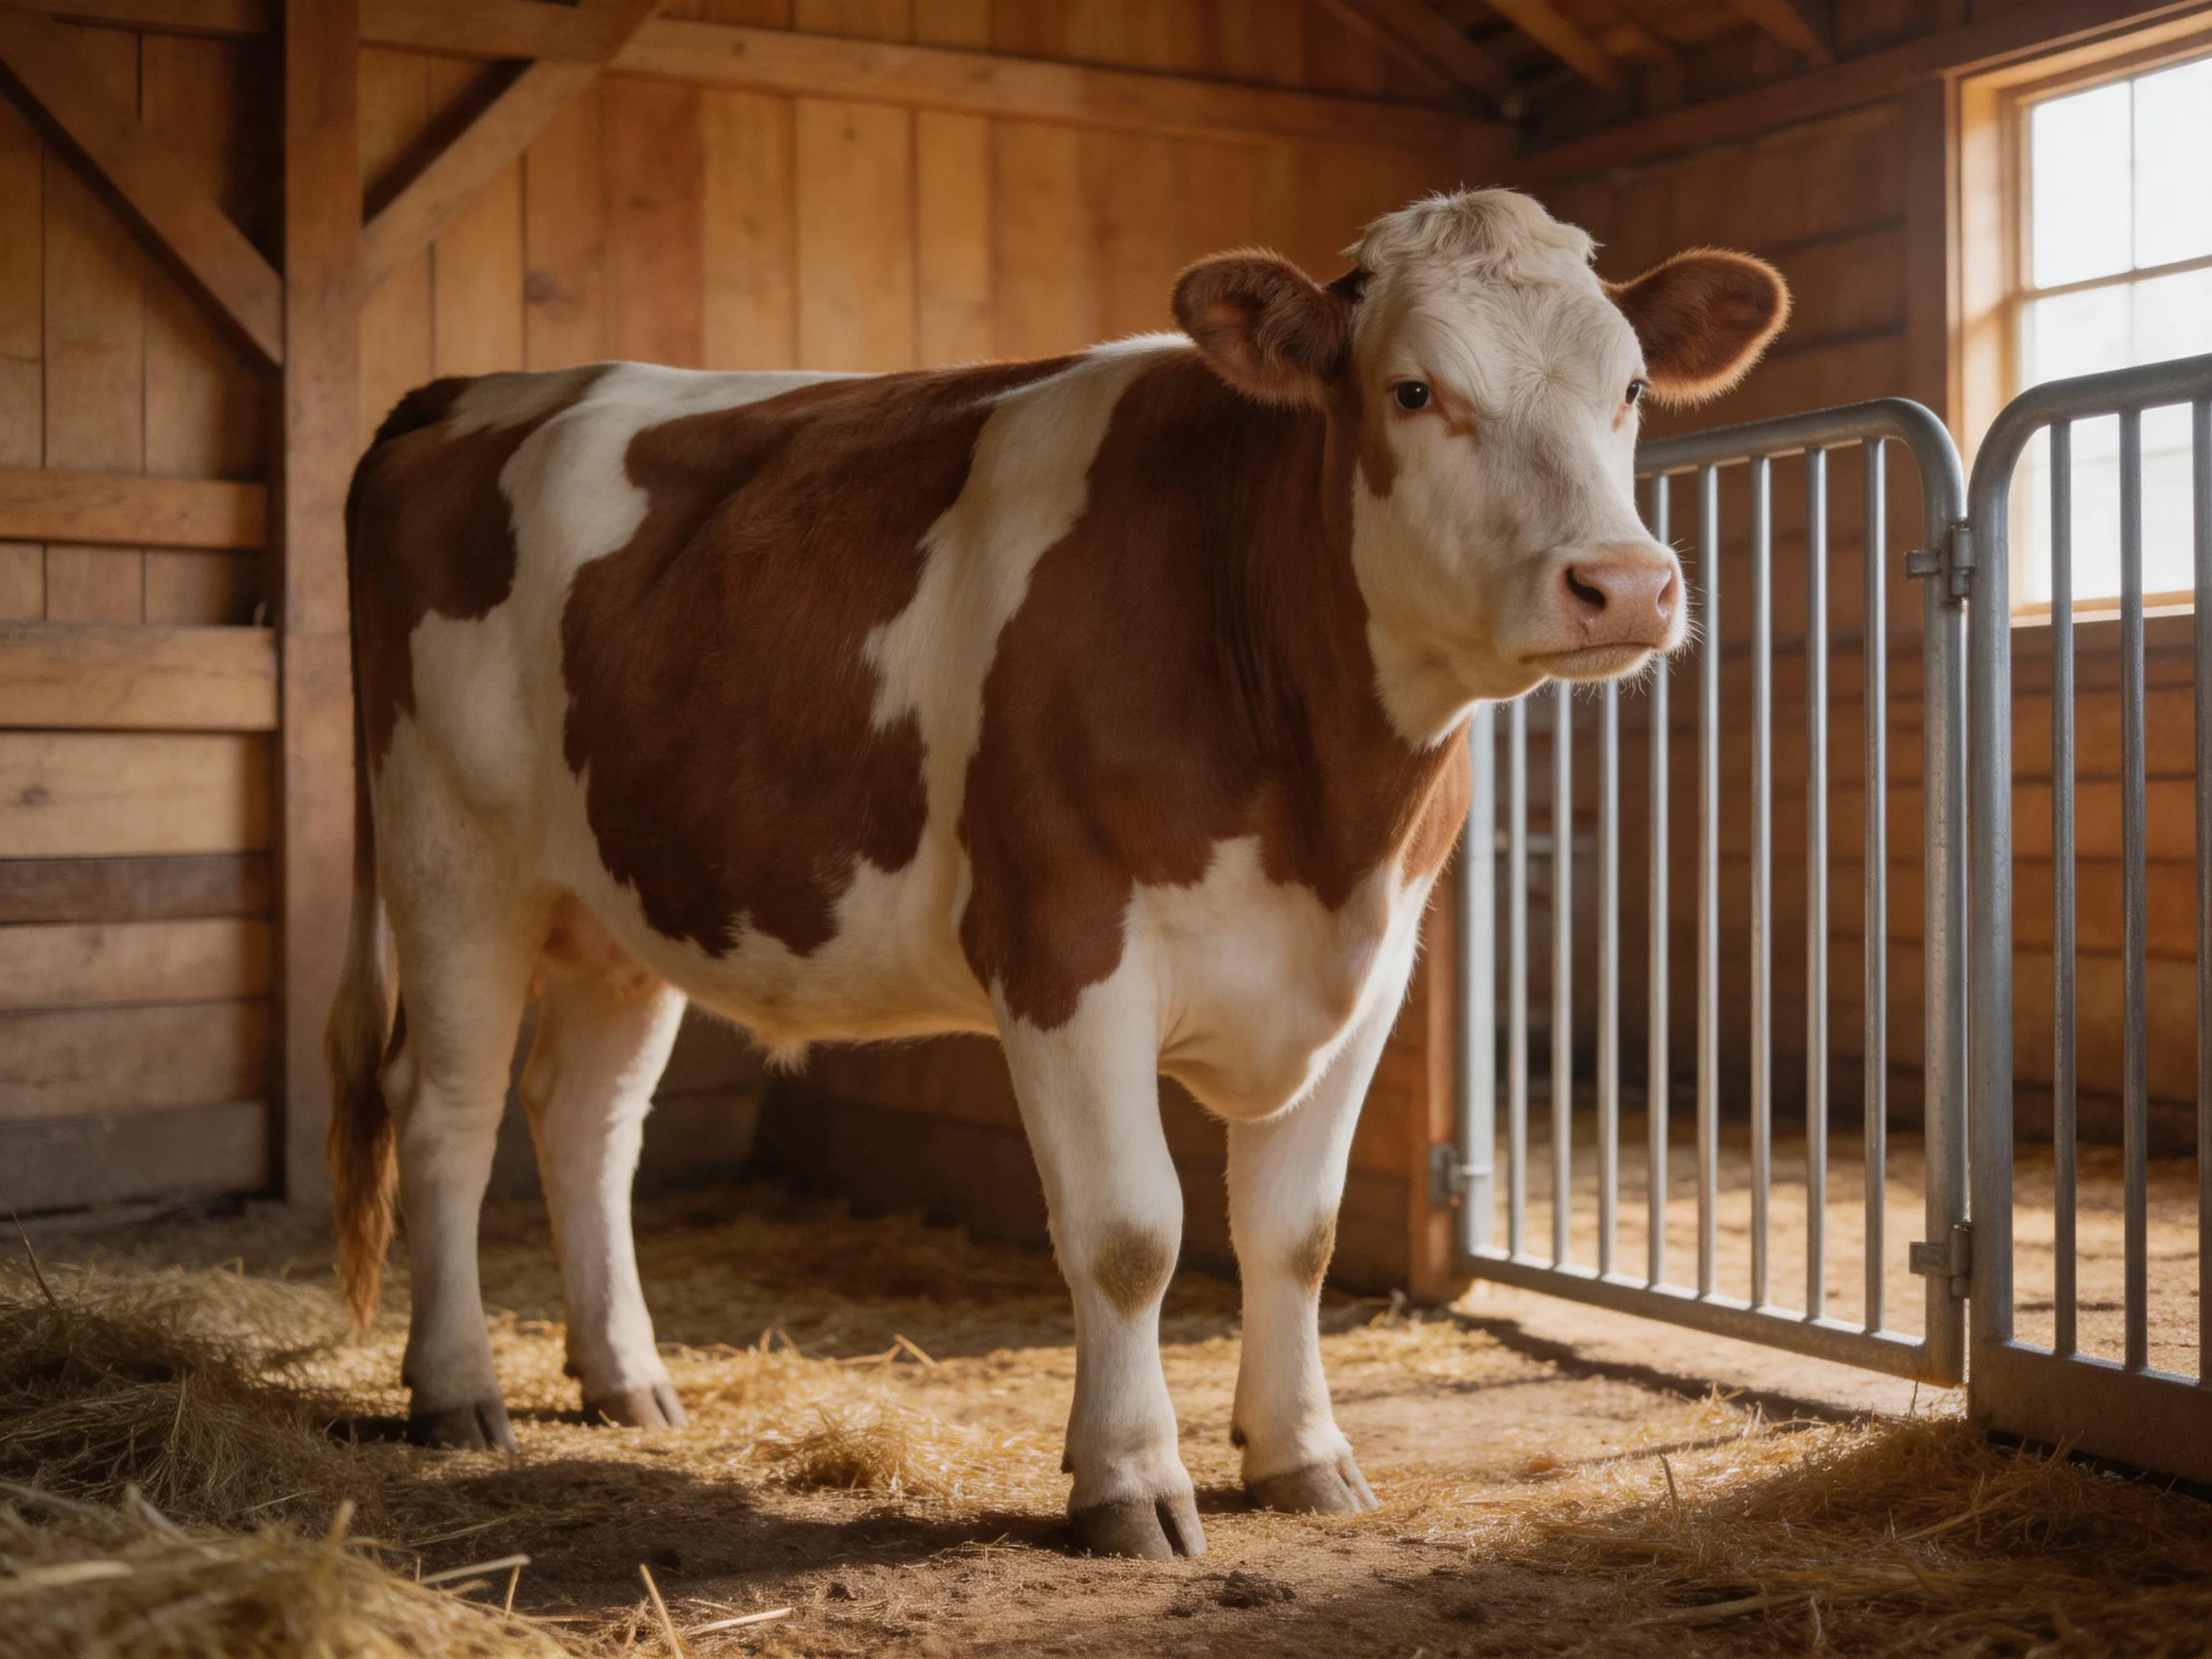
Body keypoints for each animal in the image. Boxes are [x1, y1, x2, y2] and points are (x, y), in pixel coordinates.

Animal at [326, 188, 1786, 1561]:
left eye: (1632, 388)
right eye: (1414, 391)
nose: (1624, 584)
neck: (1323, 809)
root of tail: (481, 391)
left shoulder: (1372, 969)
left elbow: (1296, 1233)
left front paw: (1303, 1458)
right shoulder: (1066, 947)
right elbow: (1133, 1234)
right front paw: (1130, 1484)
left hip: (620, 898)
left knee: (586, 1120)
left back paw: (625, 1378)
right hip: (453, 856)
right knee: (445, 1112)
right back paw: (454, 1393)